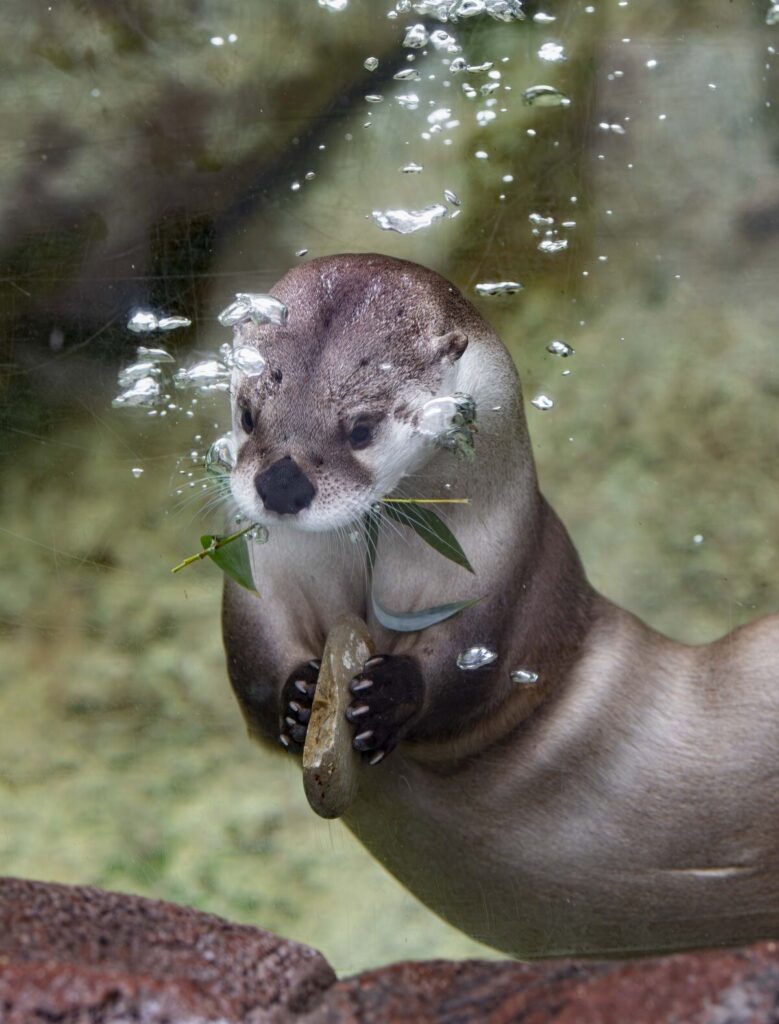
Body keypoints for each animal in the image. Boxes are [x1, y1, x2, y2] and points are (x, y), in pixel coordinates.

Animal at [222, 253, 779, 959]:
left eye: (362, 427)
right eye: (247, 413)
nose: (282, 483)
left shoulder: (504, 582)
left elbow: (473, 673)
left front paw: (389, 695)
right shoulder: (260, 579)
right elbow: (252, 663)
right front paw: (298, 697)